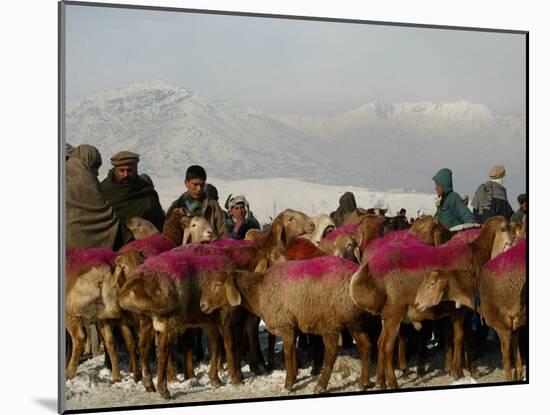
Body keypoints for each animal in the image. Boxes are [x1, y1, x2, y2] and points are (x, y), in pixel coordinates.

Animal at [64, 247, 146, 384]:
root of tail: (101, 275)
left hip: (72, 312)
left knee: (79, 338)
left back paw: (69, 374)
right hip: (103, 317)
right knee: (111, 341)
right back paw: (118, 376)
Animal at [201, 258, 378, 394]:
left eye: (216, 285)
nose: (202, 305)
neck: (258, 292)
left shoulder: (285, 325)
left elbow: (287, 354)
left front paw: (287, 385)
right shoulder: (293, 327)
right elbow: (292, 353)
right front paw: (293, 377)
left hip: (330, 321)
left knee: (331, 352)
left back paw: (320, 385)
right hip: (354, 320)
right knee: (366, 346)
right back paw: (363, 383)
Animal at [352, 214, 516, 390]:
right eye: (505, 227)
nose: (515, 239)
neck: (475, 257)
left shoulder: (462, 310)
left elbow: (464, 337)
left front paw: (467, 370)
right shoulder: (457, 310)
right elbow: (458, 337)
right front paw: (459, 372)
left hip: (387, 315)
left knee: (380, 343)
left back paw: (381, 382)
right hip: (394, 313)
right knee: (386, 347)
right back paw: (392, 383)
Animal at [416, 237, 528, 384]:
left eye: (432, 284)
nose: (417, 303)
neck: (478, 290)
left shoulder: (502, 326)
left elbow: (506, 355)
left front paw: (508, 378)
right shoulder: (514, 325)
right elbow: (516, 350)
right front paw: (519, 374)